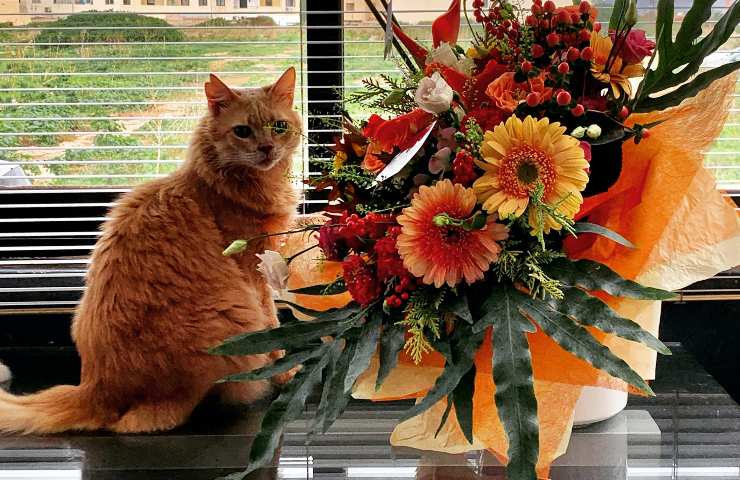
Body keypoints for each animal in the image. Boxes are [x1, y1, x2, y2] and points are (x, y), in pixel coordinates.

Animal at [0, 68, 304, 436]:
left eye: (279, 126)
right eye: (242, 131)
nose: (266, 148)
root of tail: (95, 388)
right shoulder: (252, 272)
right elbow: (272, 326)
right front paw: (286, 370)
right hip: (231, 317)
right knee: (159, 418)